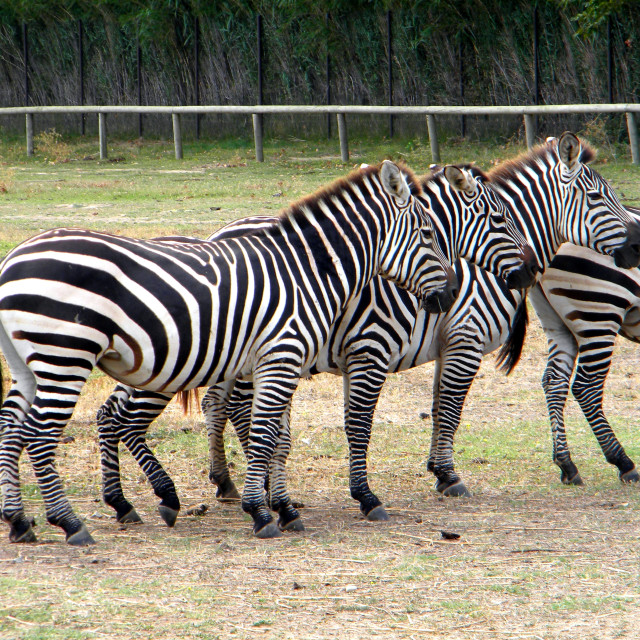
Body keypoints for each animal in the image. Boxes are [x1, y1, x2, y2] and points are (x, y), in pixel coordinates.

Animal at [0, 160, 460, 544]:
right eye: (429, 234)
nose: (452, 294)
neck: (308, 273)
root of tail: (12, 260)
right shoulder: (282, 356)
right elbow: (265, 435)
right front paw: (262, 512)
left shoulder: (274, 364)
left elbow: (276, 438)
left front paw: (282, 507)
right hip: (65, 355)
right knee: (40, 434)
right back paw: (70, 523)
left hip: (28, 362)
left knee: (11, 424)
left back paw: (21, 521)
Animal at [94, 160, 540, 524]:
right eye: (499, 218)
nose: (530, 272)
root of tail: (220, 231)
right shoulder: (402, 346)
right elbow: (414, 416)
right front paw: (424, 482)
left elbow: (429, 409)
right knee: (137, 415)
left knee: (149, 409)